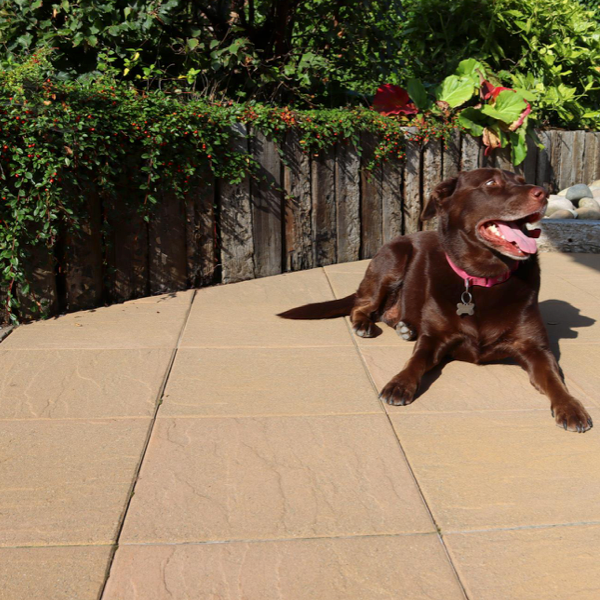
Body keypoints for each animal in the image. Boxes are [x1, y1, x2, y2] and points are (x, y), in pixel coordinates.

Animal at [278, 166, 592, 434]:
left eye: (521, 179)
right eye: (491, 183)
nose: (543, 192)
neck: (481, 278)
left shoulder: (537, 349)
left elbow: (554, 379)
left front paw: (570, 407)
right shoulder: (433, 339)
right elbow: (415, 360)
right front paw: (399, 383)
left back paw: (404, 327)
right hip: (393, 258)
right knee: (362, 304)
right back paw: (366, 325)